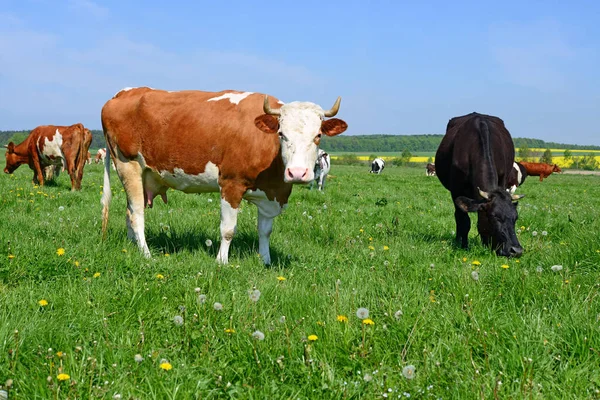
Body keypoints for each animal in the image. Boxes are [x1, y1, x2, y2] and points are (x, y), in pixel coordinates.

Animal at [101, 86, 346, 264]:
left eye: (318, 135)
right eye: (281, 133)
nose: (297, 173)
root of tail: (123, 93)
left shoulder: (271, 193)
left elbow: (265, 231)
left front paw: (265, 261)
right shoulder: (231, 184)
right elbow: (228, 230)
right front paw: (222, 261)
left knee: (128, 212)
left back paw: (132, 247)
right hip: (128, 164)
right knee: (136, 214)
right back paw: (146, 254)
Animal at [434, 111, 524, 256]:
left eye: (516, 217)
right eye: (494, 217)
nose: (516, 250)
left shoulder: (503, 179)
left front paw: (485, 244)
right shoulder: (456, 190)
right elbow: (463, 221)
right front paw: (463, 246)